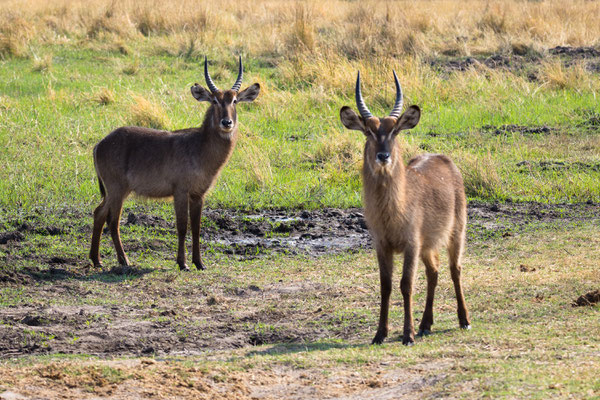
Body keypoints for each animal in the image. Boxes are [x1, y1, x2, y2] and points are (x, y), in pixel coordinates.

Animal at [89, 57, 260, 272]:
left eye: (234, 101)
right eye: (214, 100)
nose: (226, 122)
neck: (200, 147)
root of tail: (100, 143)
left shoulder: (199, 194)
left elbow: (196, 228)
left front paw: (199, 263)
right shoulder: (180, 191)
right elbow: (182, 226)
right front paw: (183, 263)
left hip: (118, 191)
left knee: (99, 213)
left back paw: (97, 260)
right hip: (116, 189)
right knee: (112, 221)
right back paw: (123, 261)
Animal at [340, 71, 472, 344]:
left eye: (394, 131)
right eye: (368, 131)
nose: (383, 156)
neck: (391, 209)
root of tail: (443, 158)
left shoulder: (411, 244)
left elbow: (406, 284)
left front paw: (407, 335)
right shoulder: (382, 245)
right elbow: (386, 285)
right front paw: (380, 334)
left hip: (456, 233)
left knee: (455, 269)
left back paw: (464, 320)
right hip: (428, 245)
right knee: (434, 271)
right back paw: (426, 325)